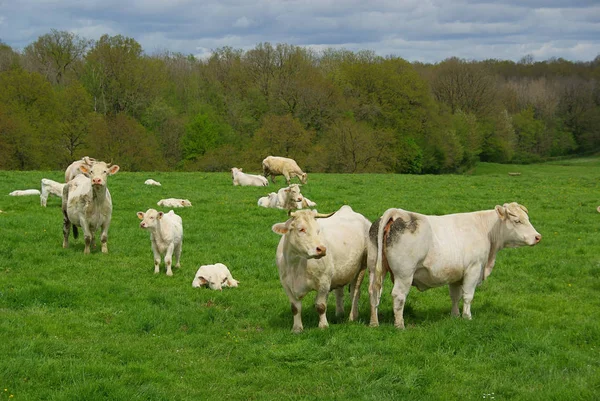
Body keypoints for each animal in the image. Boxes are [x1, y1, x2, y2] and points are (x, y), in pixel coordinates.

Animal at [368, 202, 540, 326]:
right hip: (404, 274)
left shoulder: (456, 275)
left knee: (374, 292)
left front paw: (455, 316)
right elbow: (468, 296)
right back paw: (400, 325)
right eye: (517, 221)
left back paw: (374, 323)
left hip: (374, 269)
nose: (538, 237)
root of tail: (399, 213)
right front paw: (467, 317)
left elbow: (455, 296)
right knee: (398, 296)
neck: (485, 229)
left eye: (527, 219)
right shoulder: (473, 269)